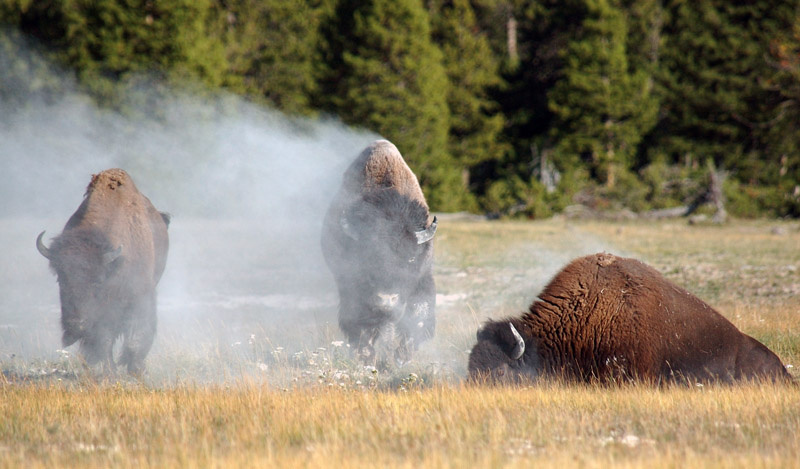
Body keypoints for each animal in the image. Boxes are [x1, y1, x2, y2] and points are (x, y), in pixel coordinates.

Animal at [37, 168, 169, 375]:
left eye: (98, 281)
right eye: (61, 279)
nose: (77, 324)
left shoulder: (140, 295)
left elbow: (136, 335)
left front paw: (136, 368)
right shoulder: (102, 317)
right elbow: (104, 339)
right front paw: (110, 370)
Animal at [321, 140, 437, 365]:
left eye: (411, 258)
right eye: (368, 257)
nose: (387, 300)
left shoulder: (422, 277)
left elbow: (419, 315)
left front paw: (402, 357)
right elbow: (360, 322)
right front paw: (366, 357)